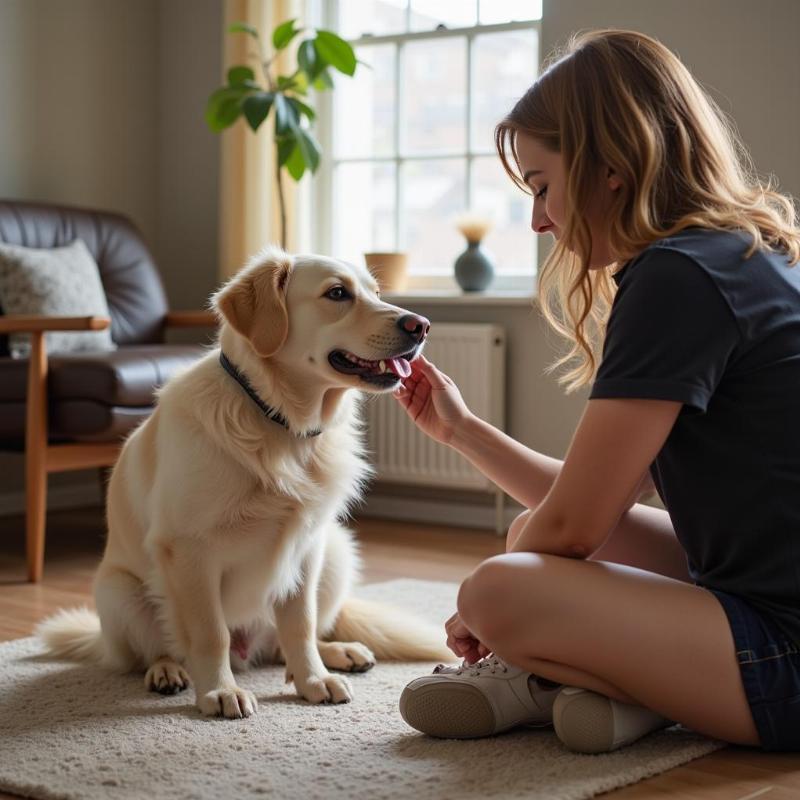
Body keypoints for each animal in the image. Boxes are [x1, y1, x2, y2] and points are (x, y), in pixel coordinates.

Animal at [36, 245, 450, 720]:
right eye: (337, 293)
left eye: (377, 293)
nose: (420, 325)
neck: (281, 423)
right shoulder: (188, 550)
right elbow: (210, 632)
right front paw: (219, 691)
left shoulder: (306, 546)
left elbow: (300, 625)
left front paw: (312, 681)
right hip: (117, 590)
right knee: (155, 650)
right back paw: (167, 671)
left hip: (337, 552)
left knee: (282, 645)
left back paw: (338, 652)